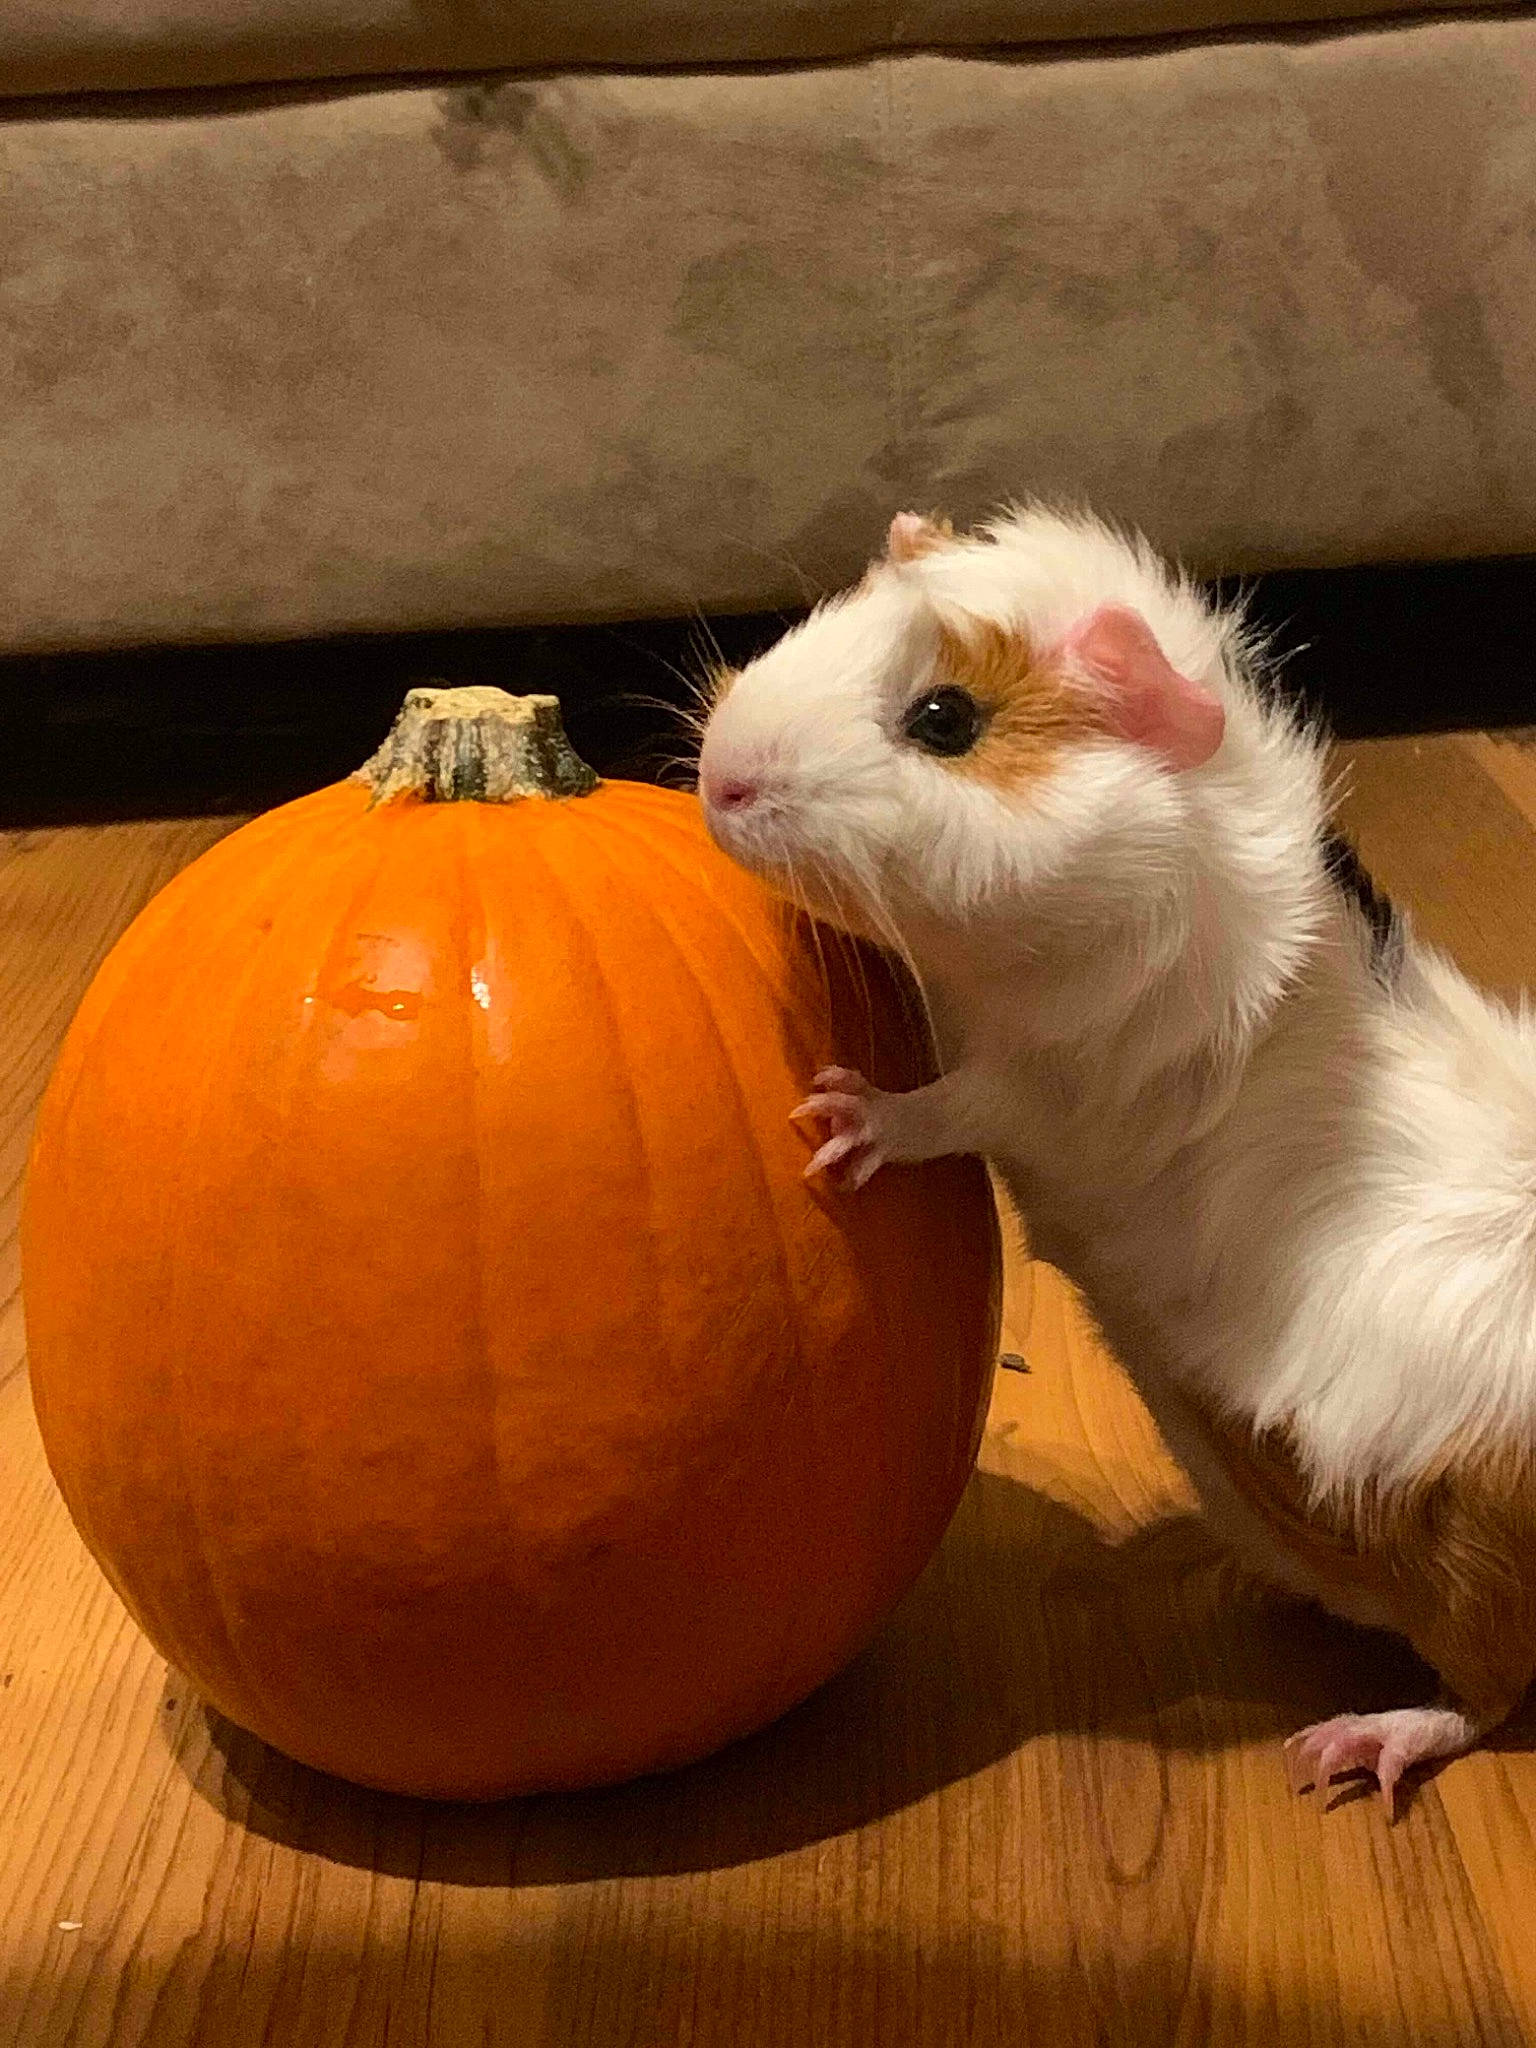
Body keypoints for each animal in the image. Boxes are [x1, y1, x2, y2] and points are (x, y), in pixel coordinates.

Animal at [696, 504, 1536, 1815]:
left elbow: (953, 1104)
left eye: (944, 719)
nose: (717, 778)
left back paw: (1341, 1751)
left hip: (1469, 1564)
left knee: (1481, 1698)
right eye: (826, 618)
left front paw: (840, 1119)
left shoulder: (1052, 1087)